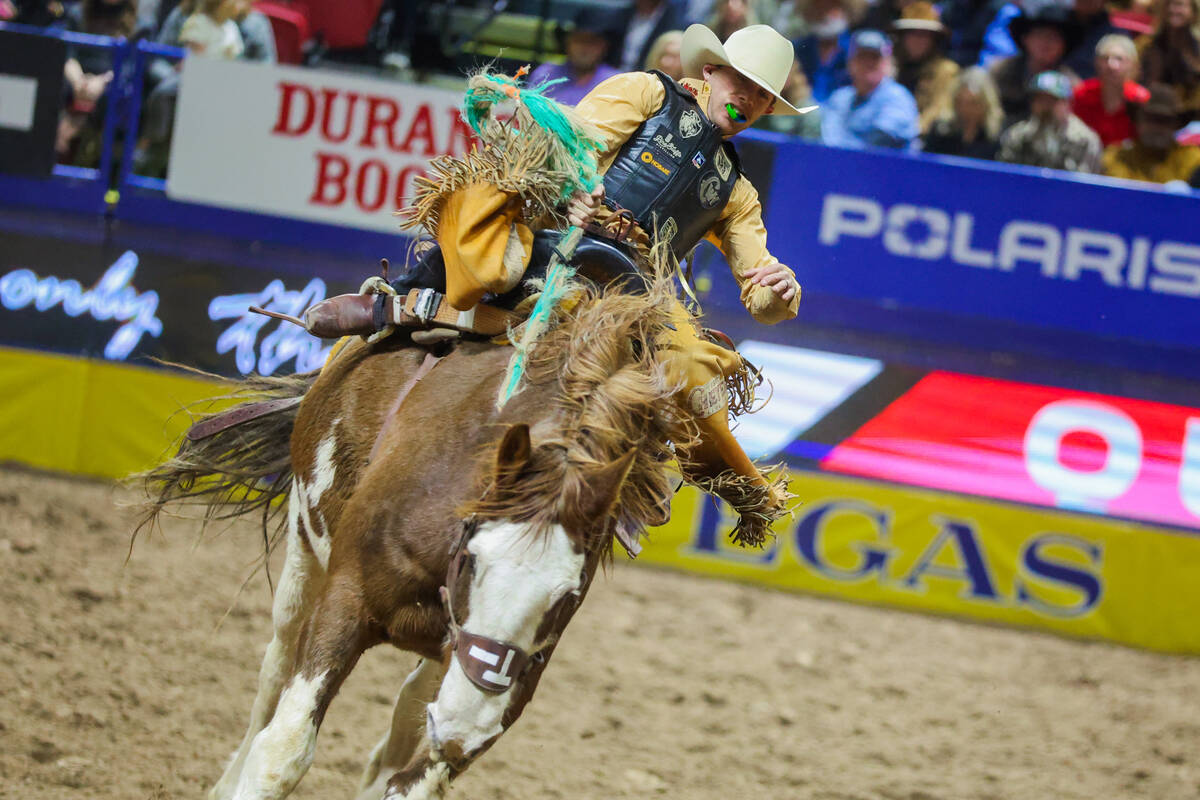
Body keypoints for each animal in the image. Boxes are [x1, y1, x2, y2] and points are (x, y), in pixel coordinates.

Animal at [139, 284, 696, 800]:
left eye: (568, 594)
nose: (462, 724)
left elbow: (417, 779)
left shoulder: (517, 677)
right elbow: (283, 749)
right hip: (303, 547)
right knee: (274, 672)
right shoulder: (346, 600)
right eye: (472, 559)